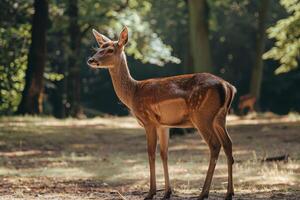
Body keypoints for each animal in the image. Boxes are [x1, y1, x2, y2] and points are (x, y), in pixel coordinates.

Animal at [86, 27, 237, 200]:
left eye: (110, 49)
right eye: (98, 48)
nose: (91, 60)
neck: (133, 94)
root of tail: (228, 87)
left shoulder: (148, 121)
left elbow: (150, 153)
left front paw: (151, 193)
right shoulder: (163, 125)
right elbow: (164, 153)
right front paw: (167, 192)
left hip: (202, 116)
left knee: (215, 144)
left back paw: (203, 193)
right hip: (219, 118)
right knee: (228, 144)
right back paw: (229, 193)